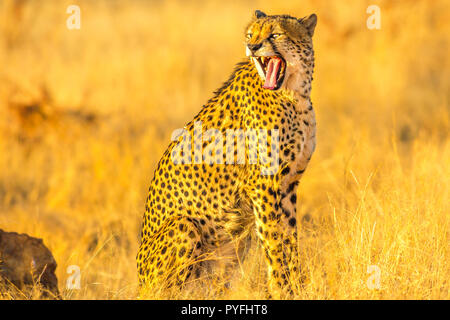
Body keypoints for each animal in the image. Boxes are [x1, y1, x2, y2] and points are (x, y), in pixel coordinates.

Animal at [137, 10, 316, 300]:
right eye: (250, 34)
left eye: (276, 34)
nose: (253, 47)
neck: (294, 95)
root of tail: (140, 283)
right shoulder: (263, 187)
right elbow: (274, 242)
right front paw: (281, 289)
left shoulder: (289, 184)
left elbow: (290, 241)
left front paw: (297, 287)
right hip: (184, 225)